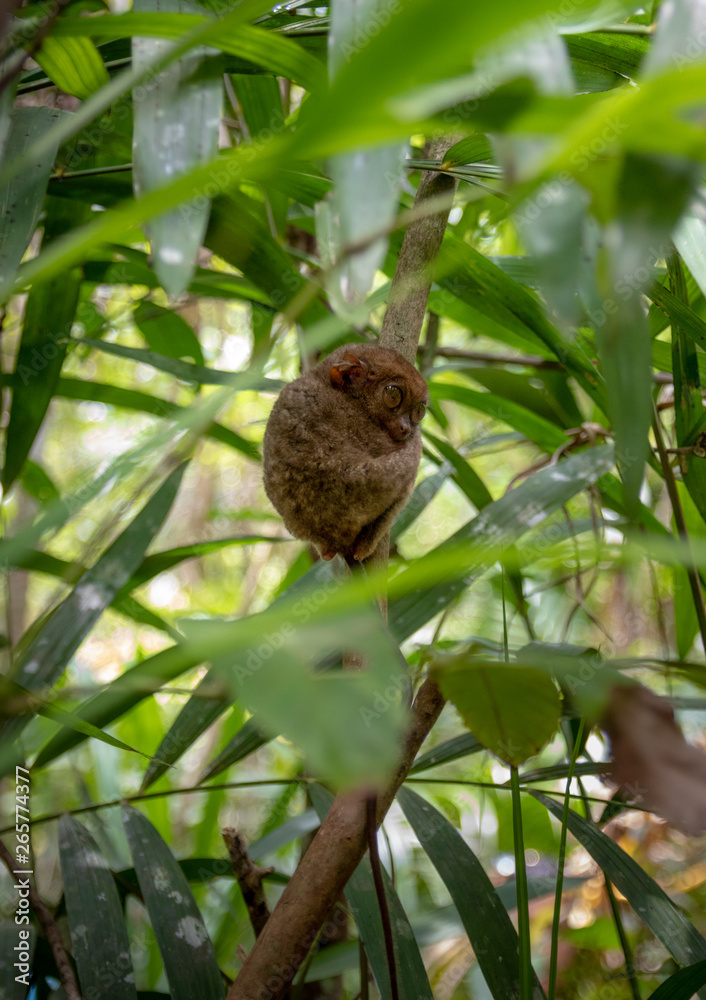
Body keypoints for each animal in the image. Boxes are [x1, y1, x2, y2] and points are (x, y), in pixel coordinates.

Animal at [263, 342, 428, 564]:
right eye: (393, 395)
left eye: (419, 411)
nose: (406, 428)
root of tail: (338, 540)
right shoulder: (361, 425)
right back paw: (365, 547)